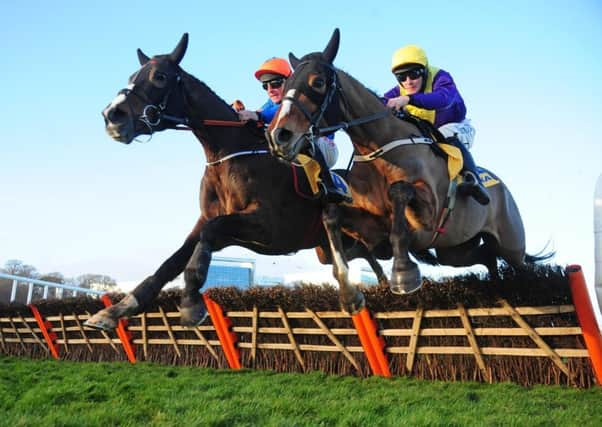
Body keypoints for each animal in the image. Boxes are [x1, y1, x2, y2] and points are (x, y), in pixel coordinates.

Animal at [84, 34, 384, 332]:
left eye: (159, 76)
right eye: (132, 76)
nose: (112, 115)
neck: (229, 155)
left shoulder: (271, 227)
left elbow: (207, 237)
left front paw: (191, 304)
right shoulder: (210, 222)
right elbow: (171, 263)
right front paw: (116, 310)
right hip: (333, 248)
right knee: (368, 259)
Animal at [266, 29, 548, 298]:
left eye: (318, 82)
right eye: (285, 84)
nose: (279, 135)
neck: (378, 148)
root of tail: (503, 189)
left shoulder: (429, 215)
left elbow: (399, 191)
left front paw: (403, 272)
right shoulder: (371, 231)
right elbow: (332, 215)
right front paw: (348, 290)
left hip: (511, 245)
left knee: (522, 267)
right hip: (455, 250)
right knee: (487, 257)